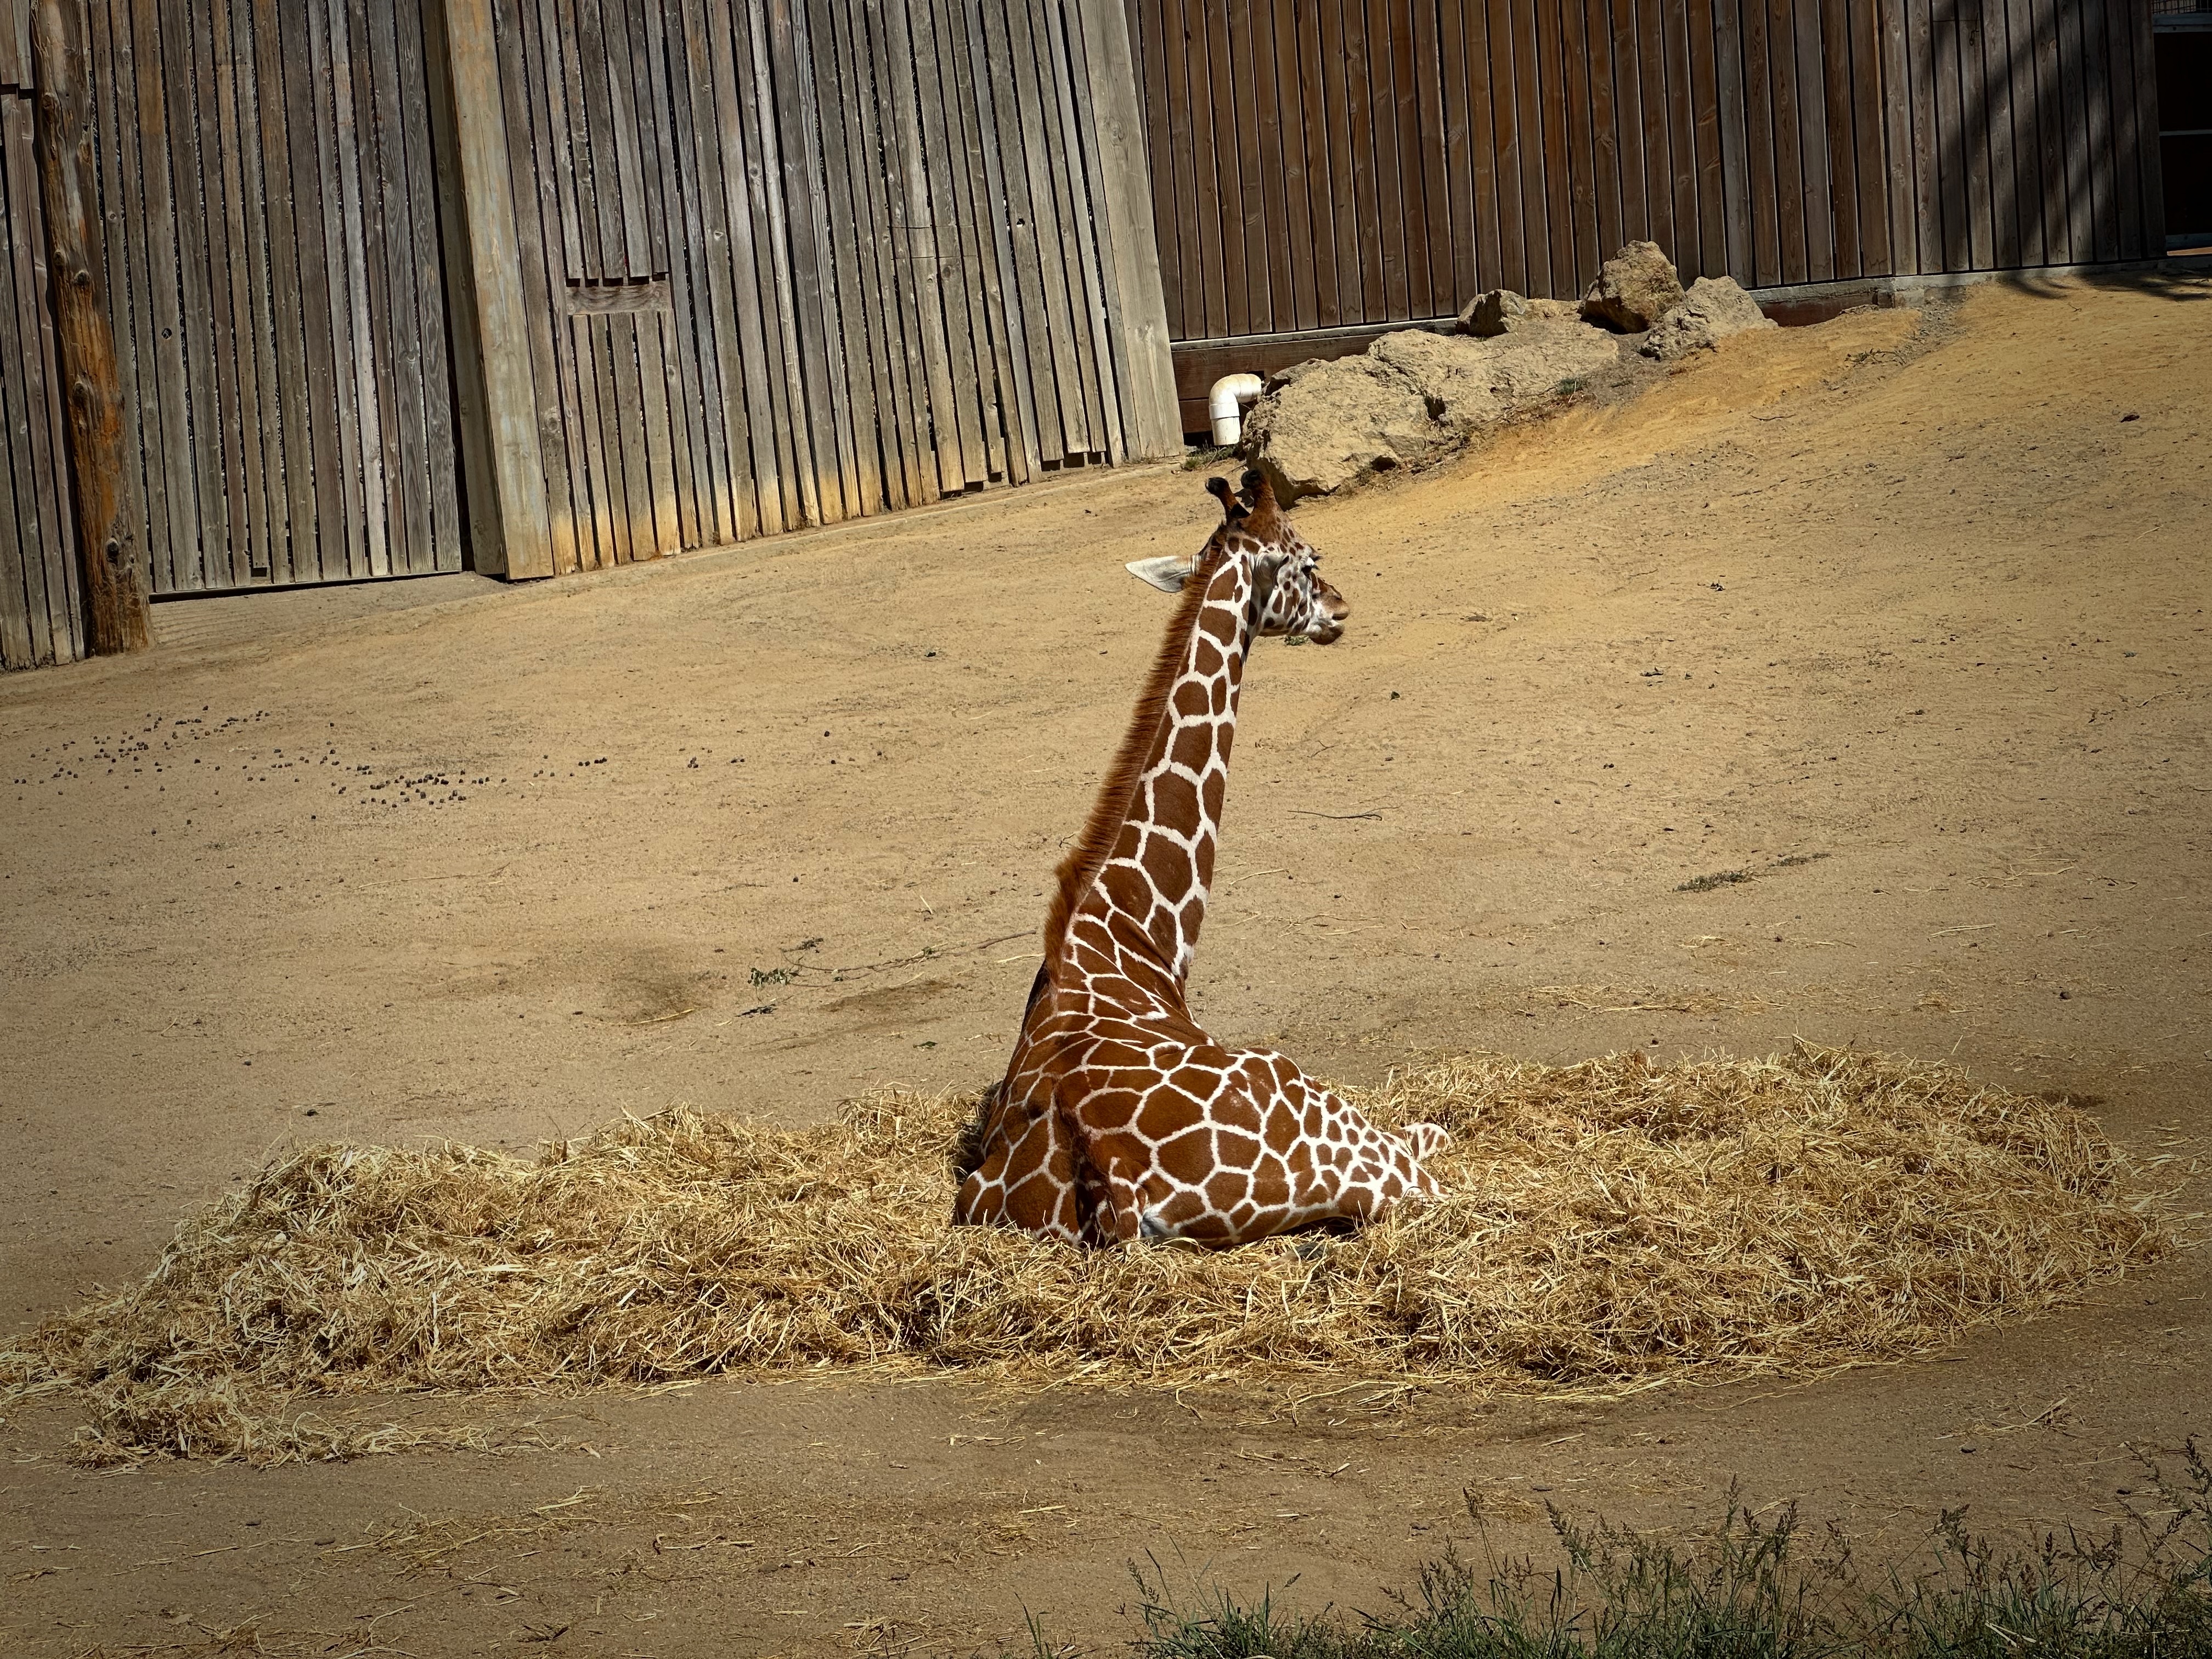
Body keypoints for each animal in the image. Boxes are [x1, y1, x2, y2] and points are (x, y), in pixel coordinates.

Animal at [955, 469, 1451, 1248]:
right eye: (1308, 559)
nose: (1341, 609)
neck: (1134, 929)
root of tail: (1111, 1177)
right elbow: (1429, 1129)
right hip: (1352, 1139)